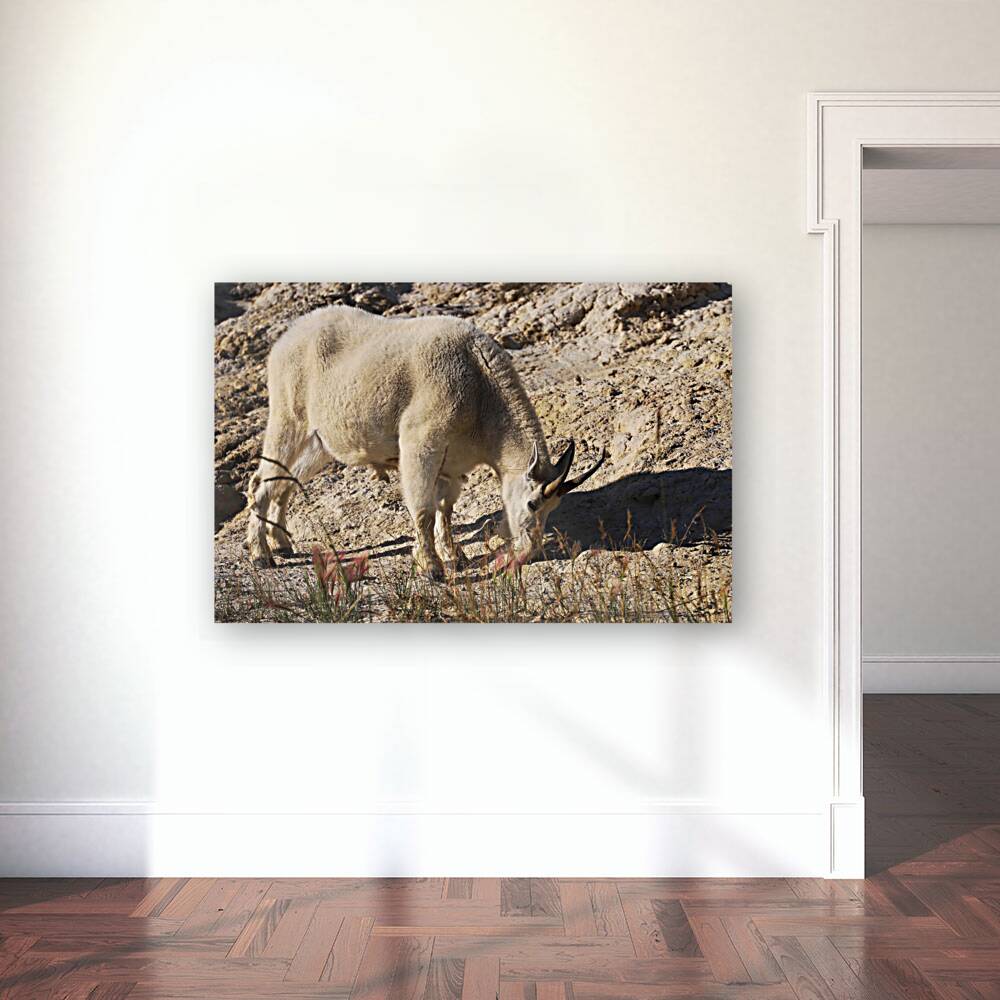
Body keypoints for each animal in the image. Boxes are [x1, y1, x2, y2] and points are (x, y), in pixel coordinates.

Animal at [245, 304, 606, 578]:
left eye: (553, 507)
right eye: (532, 504)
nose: (531, 550)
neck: (481, 391)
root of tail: (287, 337)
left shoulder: (453, 464)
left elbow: (445, 509)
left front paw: (453, 556)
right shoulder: (421, 444)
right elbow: (424, 509)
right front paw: (431, 568)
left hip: (319, 442)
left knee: (286, 481)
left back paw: (281, 542)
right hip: (288, 417)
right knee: (262, 480)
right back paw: (261, 554)